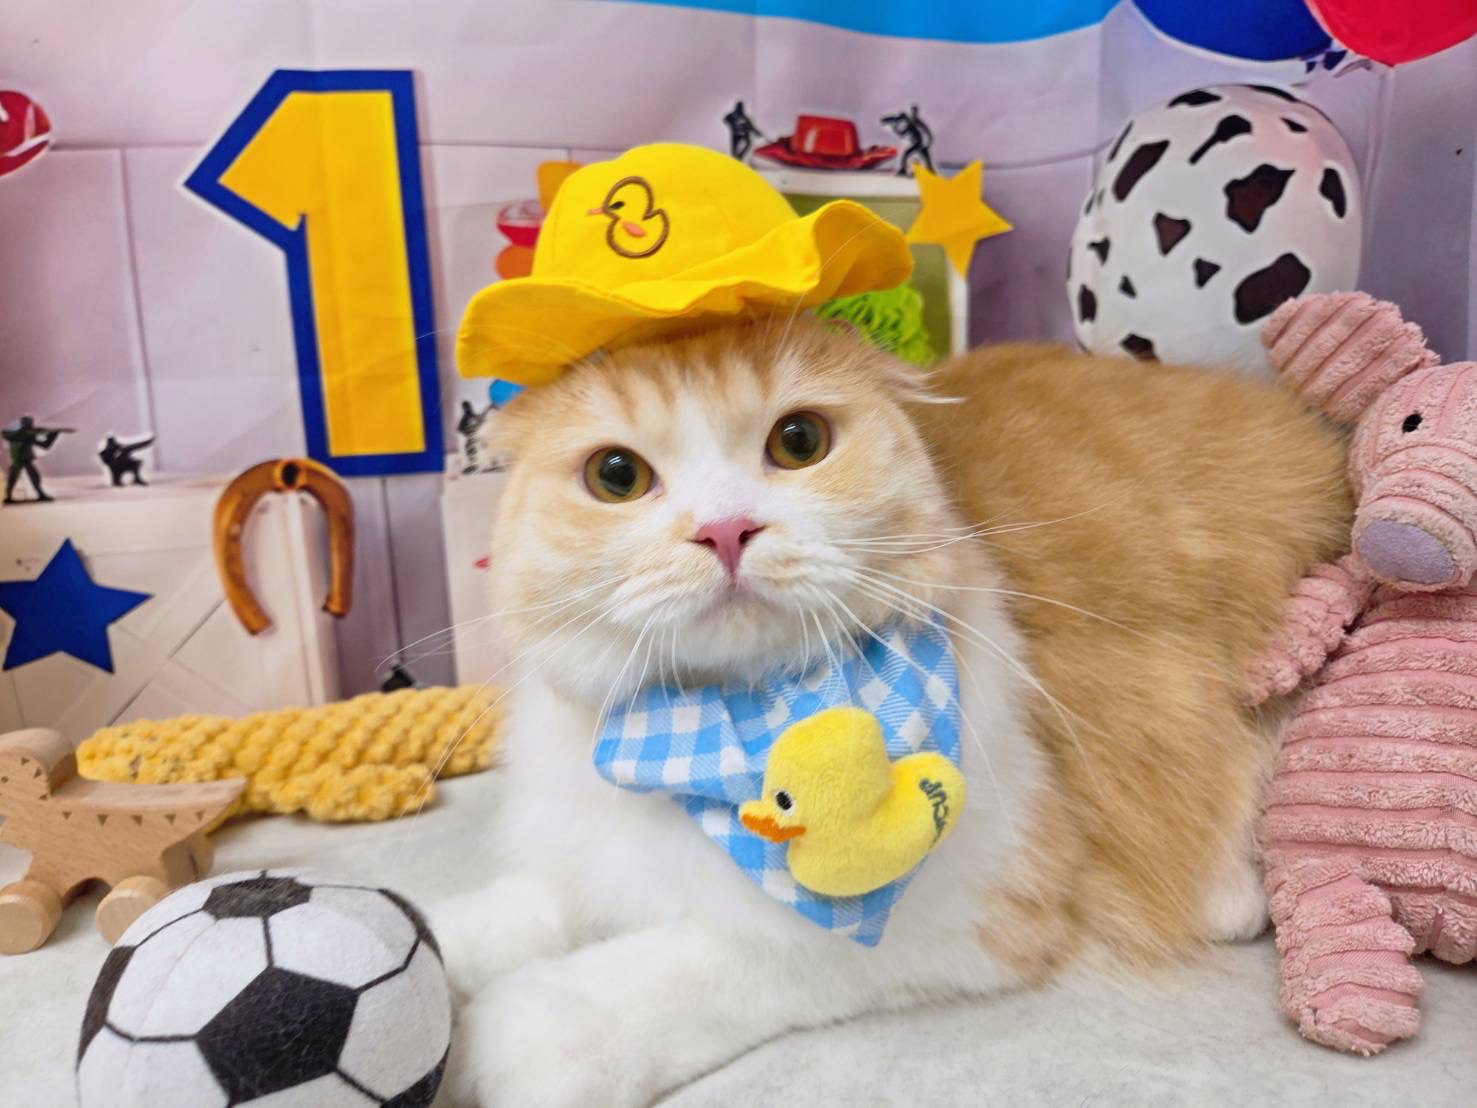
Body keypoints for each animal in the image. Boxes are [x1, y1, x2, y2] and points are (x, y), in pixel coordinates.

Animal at [431, 317, 1351, 1107]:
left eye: (798, 443)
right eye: (616, 476)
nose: (725, 530)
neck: (705, 730)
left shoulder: (965, 902)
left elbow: (713, 957)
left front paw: (520, 1035)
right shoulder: (581, 845)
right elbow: (517, 910)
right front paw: (431, 947)